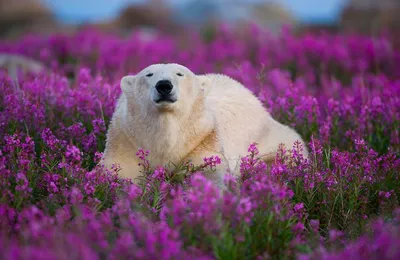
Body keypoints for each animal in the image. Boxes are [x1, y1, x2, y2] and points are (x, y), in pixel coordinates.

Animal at [100, 62, 306, 185]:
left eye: (179, 74)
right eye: (149, 74)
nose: (164, 85)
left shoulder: (202, 137)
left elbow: (209, 170)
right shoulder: (126, 137)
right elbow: (118, 167)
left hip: (268, 135)